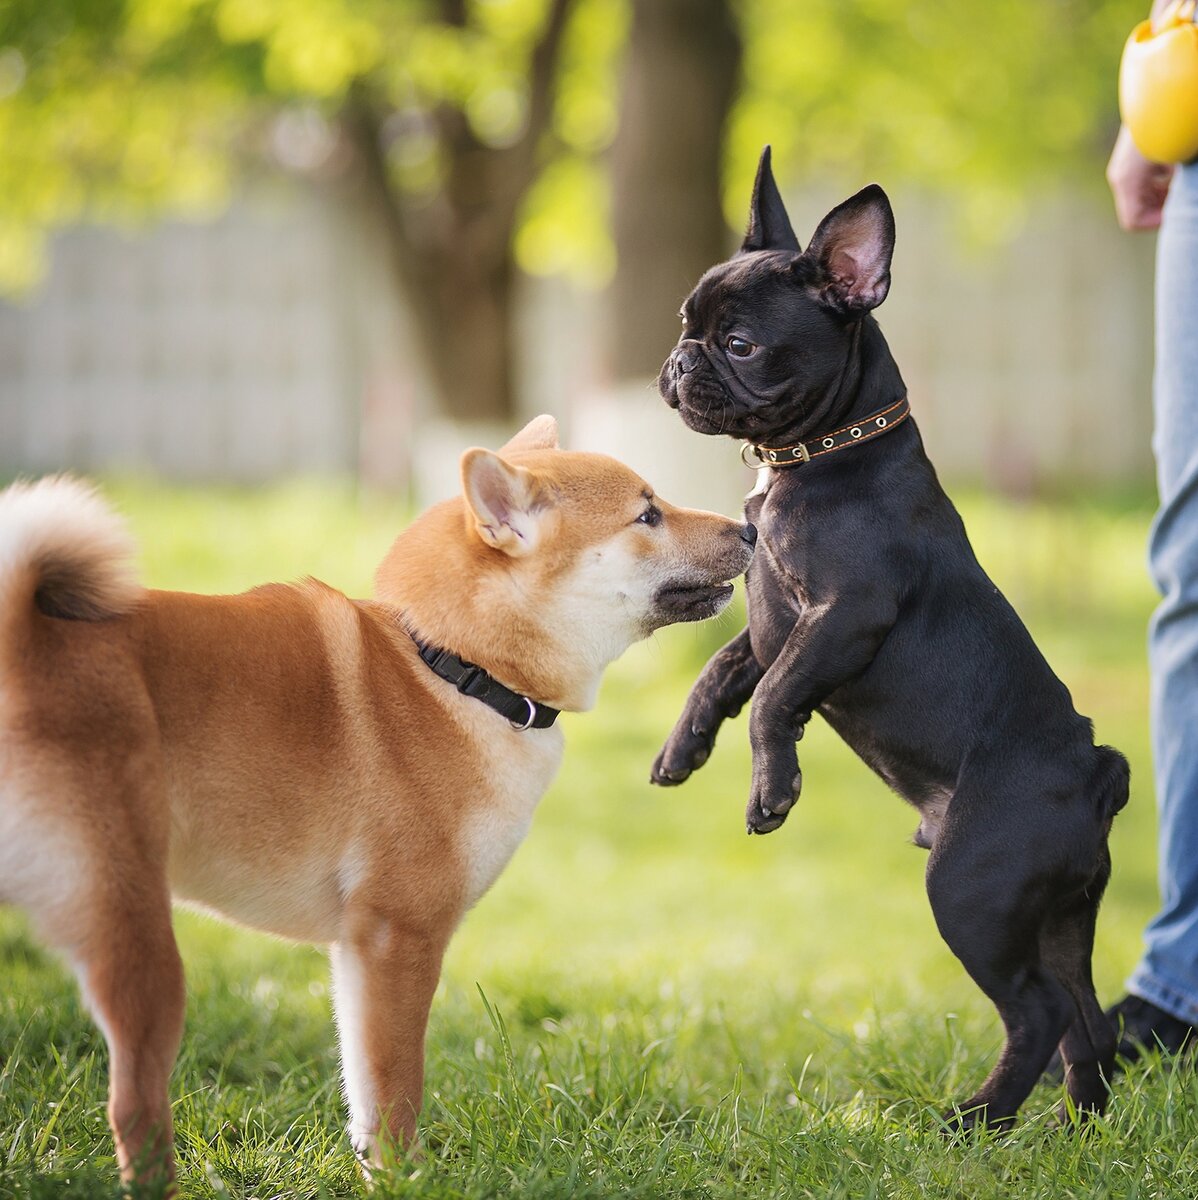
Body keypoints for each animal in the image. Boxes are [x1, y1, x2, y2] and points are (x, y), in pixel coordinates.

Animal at [0, 417, 753, 1185]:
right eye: (647, 514)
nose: (752, 526)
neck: (455, 671)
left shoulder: (355, 951)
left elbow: (362, 1087)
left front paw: (376, 1169)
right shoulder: (400, 936)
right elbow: (397, 1086)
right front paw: (406, 1178)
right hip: (134, 928)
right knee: (135, 1107)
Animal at [653, 150, 1128, 1132]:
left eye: (740, 344)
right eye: (686, 324)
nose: (677, 359)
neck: (819, 454)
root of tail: (1096, 773)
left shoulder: (847, 612)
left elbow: (774, 695)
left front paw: (772, 789)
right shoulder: (774, 619)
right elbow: (725, 671)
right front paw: (684, 748)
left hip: (973, 892)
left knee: (1038, 1010)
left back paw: (976, 1122)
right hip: (1059, 912)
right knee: (1084, 1016)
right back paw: (1078, 1127)